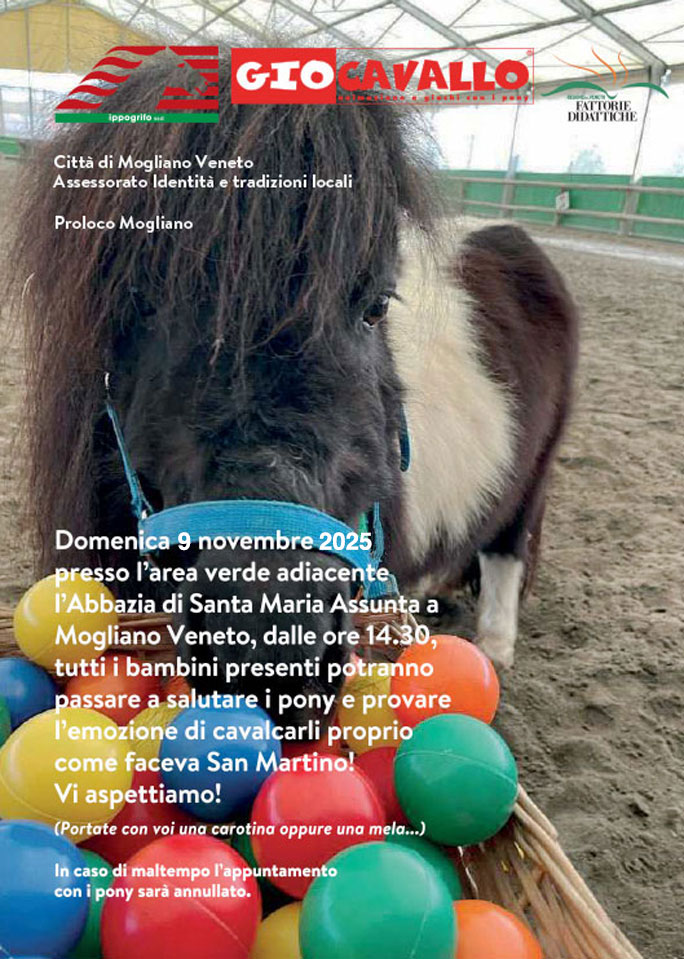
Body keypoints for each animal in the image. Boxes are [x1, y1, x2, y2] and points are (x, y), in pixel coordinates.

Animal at [16, 50, 578, 728]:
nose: (269, 645)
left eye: (376, 305)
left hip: (534, 478)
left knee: (506, 549)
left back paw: (494, 647)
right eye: (137, 303)